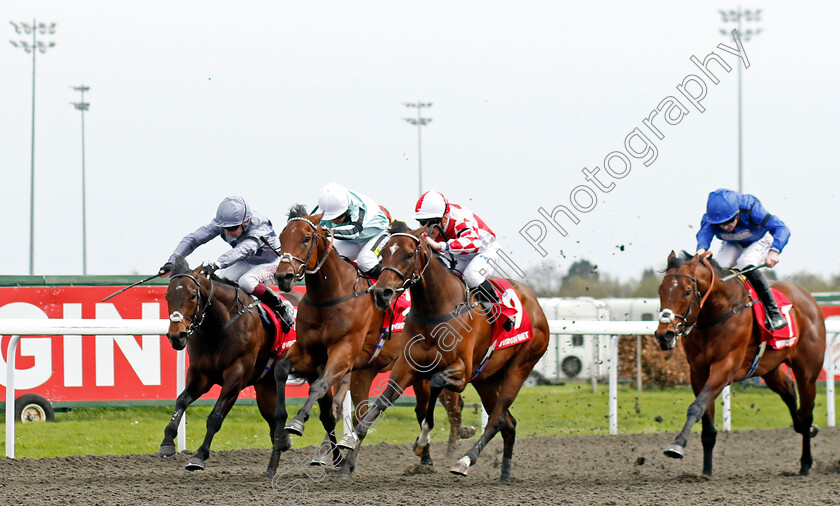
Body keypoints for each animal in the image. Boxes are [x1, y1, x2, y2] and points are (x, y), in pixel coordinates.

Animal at [159, 256, 326, 474]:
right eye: (167, 296)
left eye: (193, 295)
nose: (176, 336)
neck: (218, 326)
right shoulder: (201, 374)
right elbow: (182, 400)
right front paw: (167, 442)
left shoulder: (236, 374)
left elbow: (216, 416)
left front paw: (198, 456)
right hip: (266, 385)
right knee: (274, 420)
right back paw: (275, 460)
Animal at [270, 206, 470, 474]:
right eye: (281, 237)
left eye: (306, 238)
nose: (283, 276)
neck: (331, 295)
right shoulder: (308, 353)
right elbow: (283, 371)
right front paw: (284, 440)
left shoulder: (343, 353)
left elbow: (320, 389)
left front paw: (297, 424)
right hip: (386, 371)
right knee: (399, 410)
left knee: (450, 407)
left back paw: (444, 451)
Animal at [338, 222, 548, 482]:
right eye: (384, 252)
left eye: (409, 254)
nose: (381, 292)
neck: (435, 311)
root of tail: (537, 305)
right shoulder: (405, 367)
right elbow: (382, 401)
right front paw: (349, 440)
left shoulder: (461, 372)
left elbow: (436, 385)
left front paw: (422, 442)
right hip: (487, 380)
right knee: (508, 423)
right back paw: (505, 474)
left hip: (520, 368)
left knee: (496, 419)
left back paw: (464, 461)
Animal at [652, 251, 824, 476]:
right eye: (660, 290)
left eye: (688, 291)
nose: (664, 335)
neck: (718, 312)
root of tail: (809, 298)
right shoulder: (698, 372)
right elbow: (706, 420)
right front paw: (706, 471)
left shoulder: (724, 368)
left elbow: (696, 407)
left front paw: (677, 445)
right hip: (769, 369)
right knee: (789, 392)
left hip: (807, 374)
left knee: (806, 413)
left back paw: (805, 463)